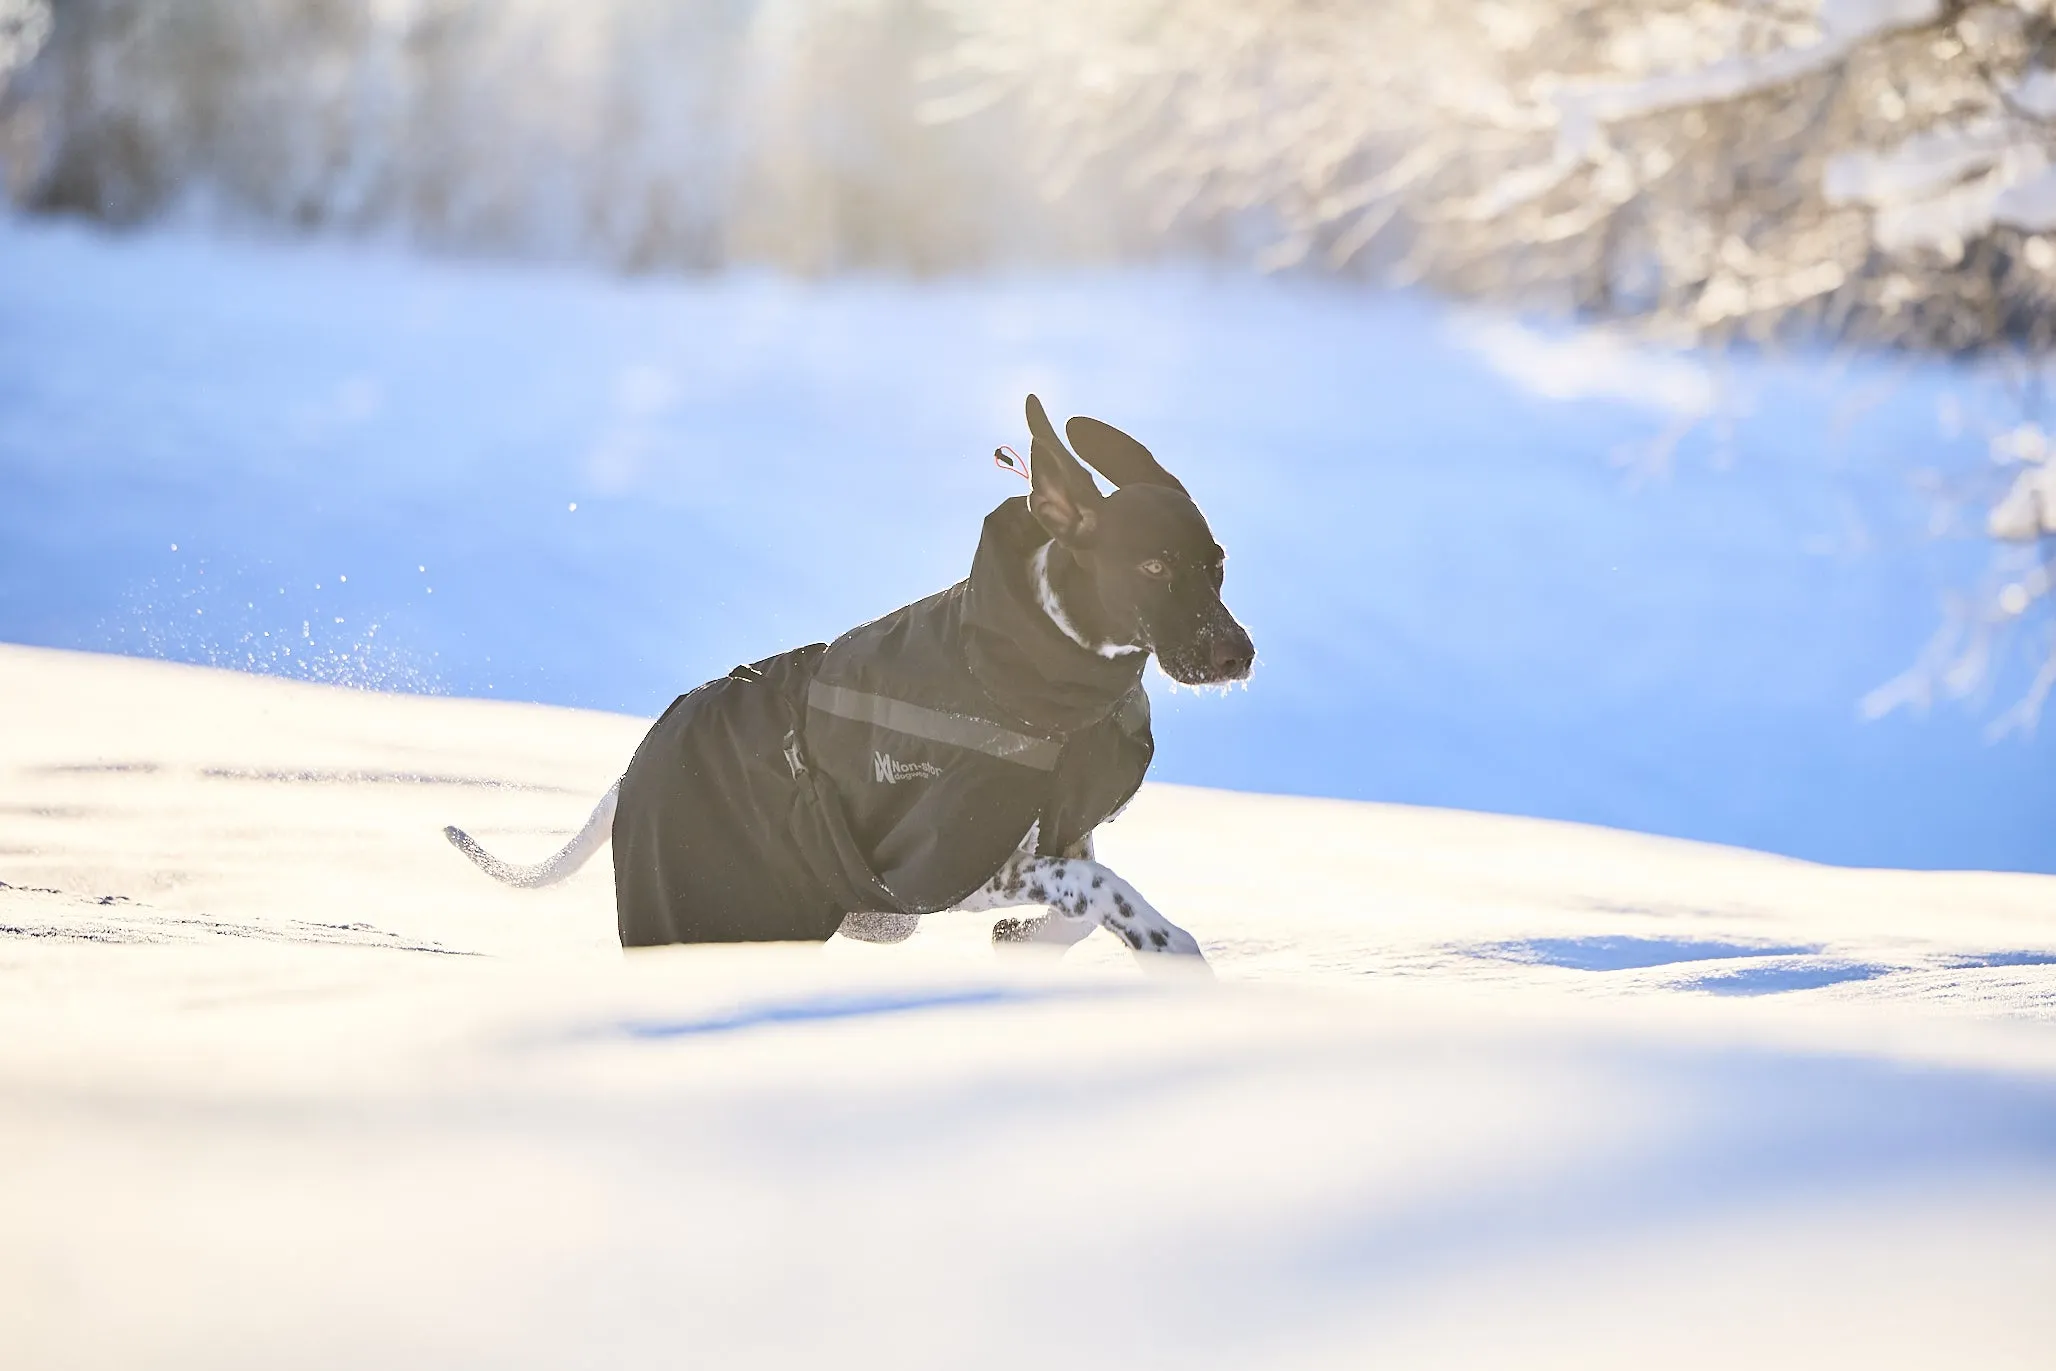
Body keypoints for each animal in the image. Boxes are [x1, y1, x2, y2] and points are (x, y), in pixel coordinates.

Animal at [448, 390, 1250, 966]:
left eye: (1217, 565)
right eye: (1153, 567)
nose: (1238, 655)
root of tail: (630, 768)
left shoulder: (1057, 835)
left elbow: (1080, 906)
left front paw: (1032, 943)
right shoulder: (940, 868)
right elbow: (1100, 889)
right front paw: (1168, 946)